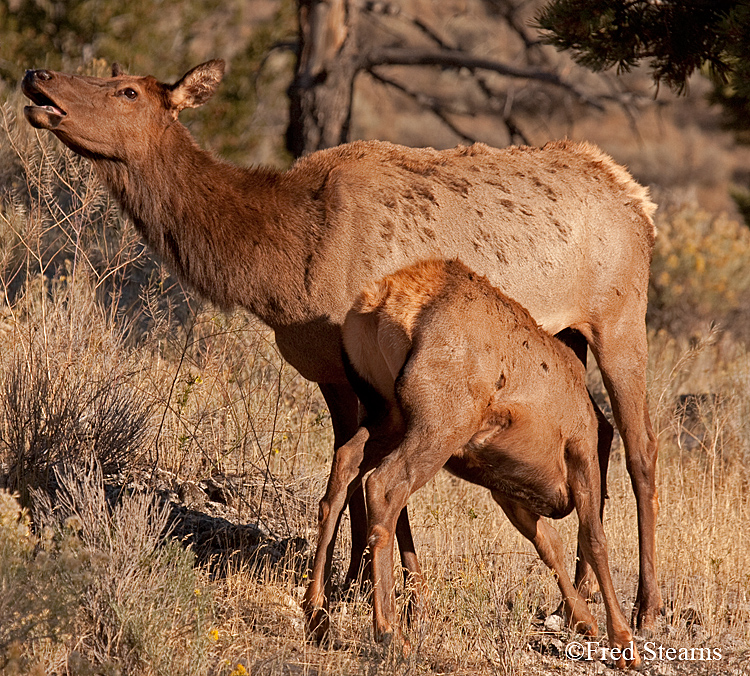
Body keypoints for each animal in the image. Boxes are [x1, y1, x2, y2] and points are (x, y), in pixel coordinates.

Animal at [20, 58, 660, 628]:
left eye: (128, 90)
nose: (36, 76)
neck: (282, 267)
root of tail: (638, 198)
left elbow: (362, 478)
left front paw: (360, 595)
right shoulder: (338, 373)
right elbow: (354, 475)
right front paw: (367, 588)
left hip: (620, 319)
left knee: (641, 446)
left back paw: (645, 607)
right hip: (564, 336)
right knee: (598, 431)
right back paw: (573, 599)